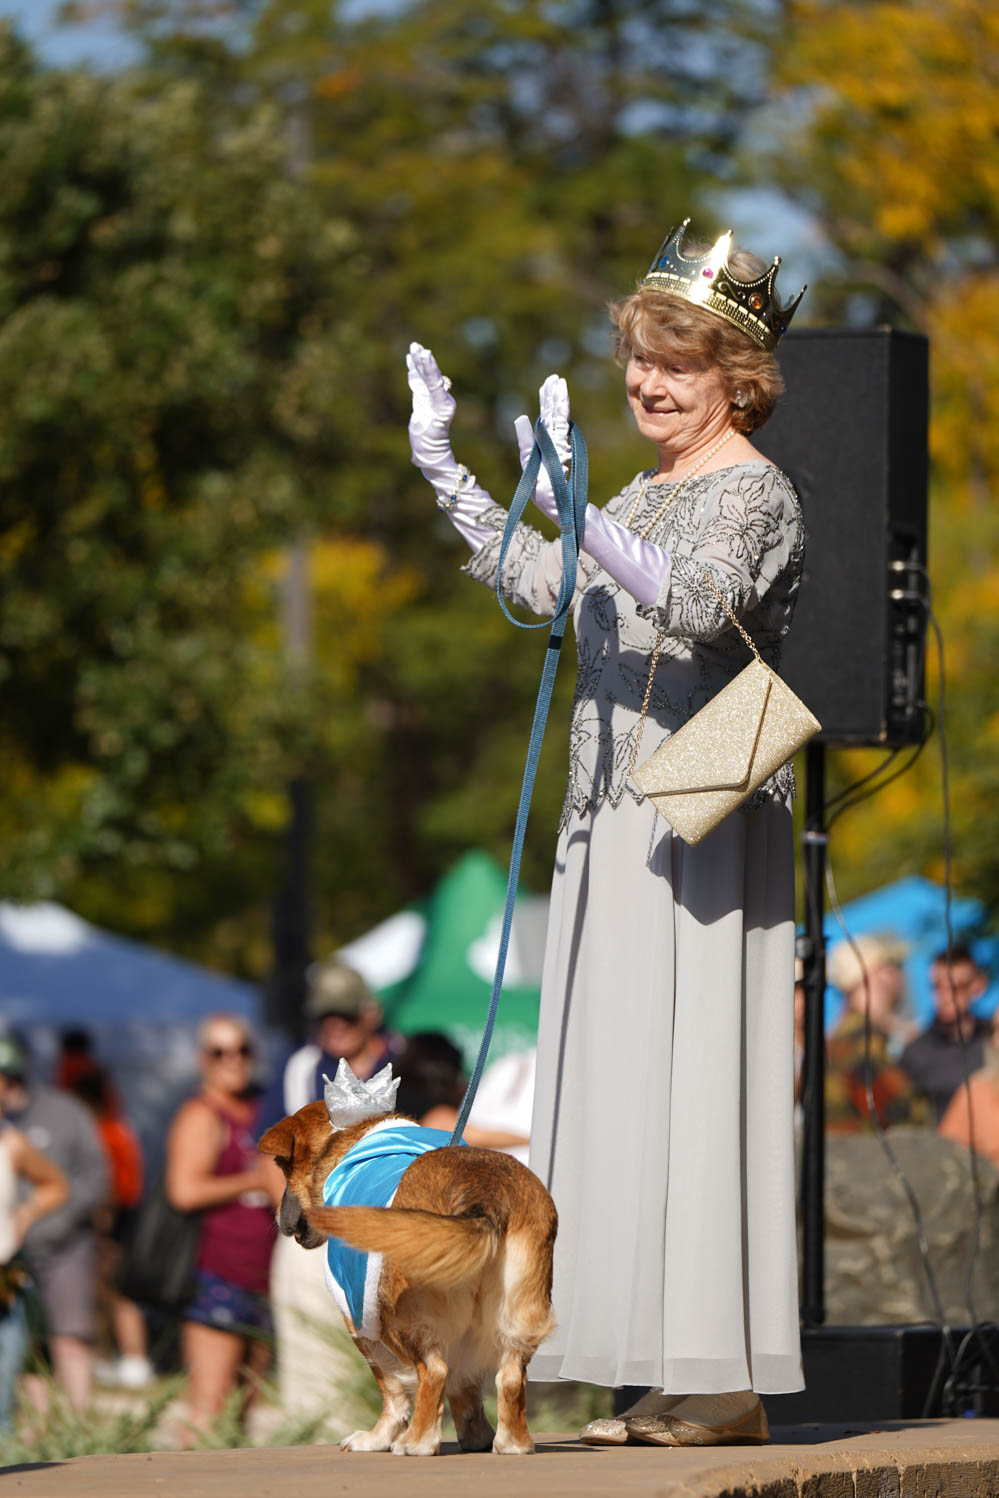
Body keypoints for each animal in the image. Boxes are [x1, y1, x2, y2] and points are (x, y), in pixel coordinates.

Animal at [257, 1102, 560, 1450]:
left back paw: (416, 1442)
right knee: (510, 1377)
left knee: (434, 1371)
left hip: (400, 1318)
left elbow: (393, 1392)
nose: (278, 1216)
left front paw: (376, 1438)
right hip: (521, 1313)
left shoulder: (359, 1321)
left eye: (282, 1165)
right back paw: (513, 1443)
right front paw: (476, 1435)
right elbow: (465, 1387)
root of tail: (483, 1195)